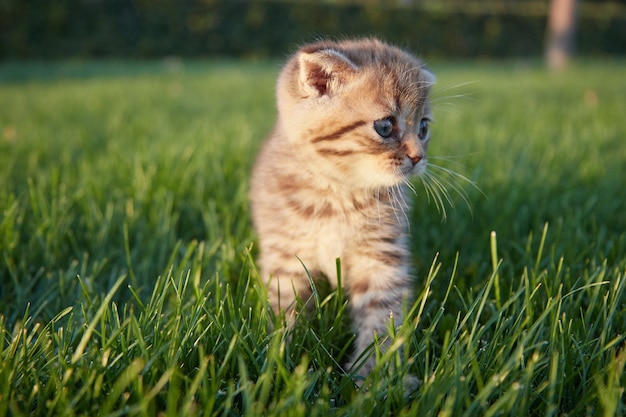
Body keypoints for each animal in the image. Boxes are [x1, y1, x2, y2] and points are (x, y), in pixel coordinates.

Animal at [250, 38, 434, 380]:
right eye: (385, 126)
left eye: (424, 128)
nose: (419, 158)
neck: (338, 195)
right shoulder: (287, 254)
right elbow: (286, 309)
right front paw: (280, 358)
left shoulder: (379, 256)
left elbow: (382, 315)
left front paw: (377, 375)